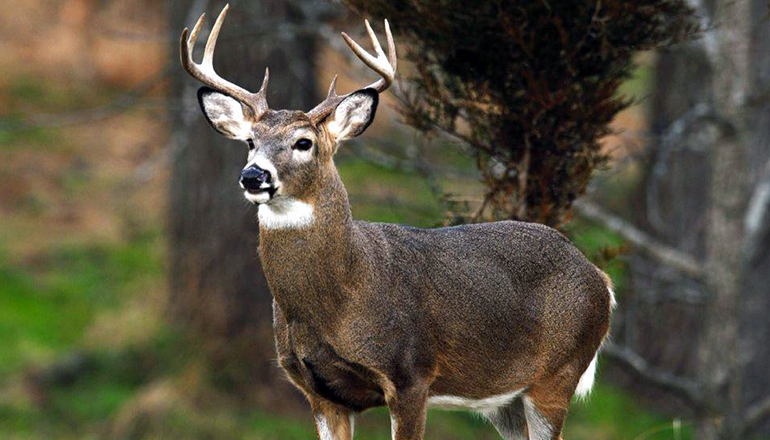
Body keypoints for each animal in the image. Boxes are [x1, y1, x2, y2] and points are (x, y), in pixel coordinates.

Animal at [180, 4, 612, 440]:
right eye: (250, 141)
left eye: (304, 142)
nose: (253, 175)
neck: (339, 296)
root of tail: (600, 278)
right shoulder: (318, 391)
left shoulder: (411, 374)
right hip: (503, 398)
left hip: (557, 373)